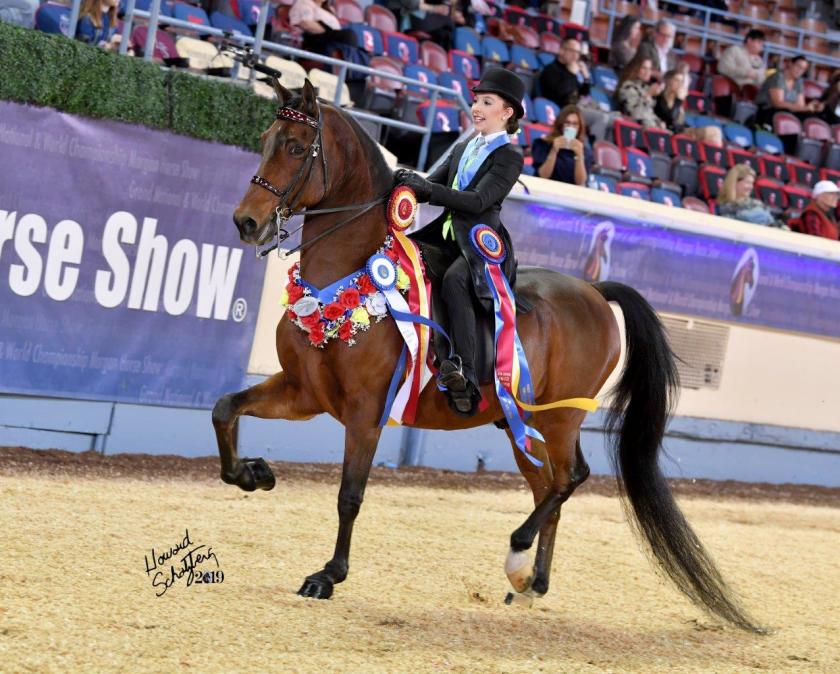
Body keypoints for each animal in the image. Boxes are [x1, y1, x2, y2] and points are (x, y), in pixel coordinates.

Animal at [215, 79, 760, 632]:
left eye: (297, 148)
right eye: (265, 139)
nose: (246, 222)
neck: (344, 277)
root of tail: (594, 291)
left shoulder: (365, 413)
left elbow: (350, 495)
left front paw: (328, 575)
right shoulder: (303, 392)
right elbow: (225, 408)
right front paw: (253, 474)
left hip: (561, 417)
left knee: (570, 479)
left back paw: (518, 558)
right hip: (522, 421)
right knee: (548, 486)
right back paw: (530, 584)